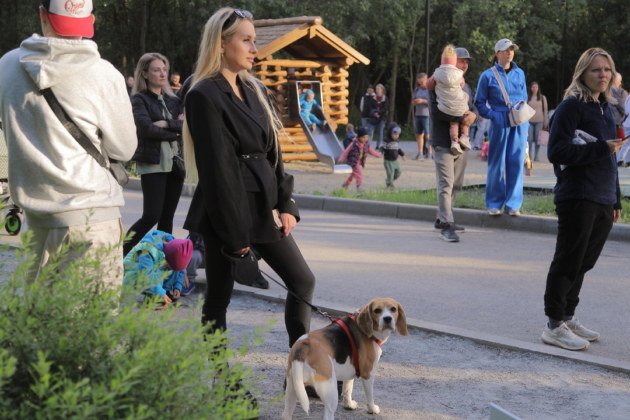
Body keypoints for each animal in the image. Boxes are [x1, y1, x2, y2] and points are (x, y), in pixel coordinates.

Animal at [282, 296, 410, 418]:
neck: (362, 328)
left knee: (286, 414)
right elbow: (369, 395)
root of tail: (303, 346)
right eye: (377, 310)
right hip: (330, 391)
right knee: (328, 415)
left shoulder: (351, 370)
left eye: (393, 309)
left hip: (292, 389)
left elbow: (348, 388)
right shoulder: (368, 374)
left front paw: (349, 404)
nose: (387, 318)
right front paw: (372, 409)